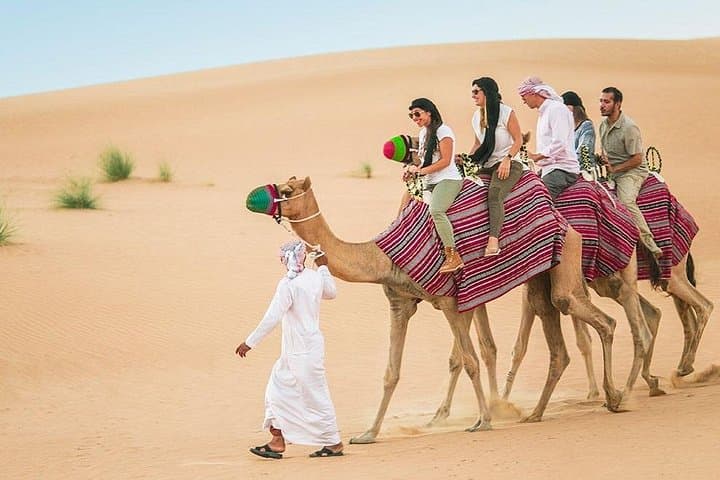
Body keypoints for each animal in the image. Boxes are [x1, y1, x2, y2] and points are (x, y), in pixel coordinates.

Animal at [246, 176, 624, 443]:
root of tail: (560, 216)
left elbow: (469, 360)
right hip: (539, 278)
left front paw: (484, 421)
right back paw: (539, 412)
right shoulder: (400, 303)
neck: (381, 256)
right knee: (559, 336)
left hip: (566, 258)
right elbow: (391, 371)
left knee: (597, 318)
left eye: (286, 188)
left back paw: (614, 396)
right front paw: (368, 434)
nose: (252, 197)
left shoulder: (450, 302)